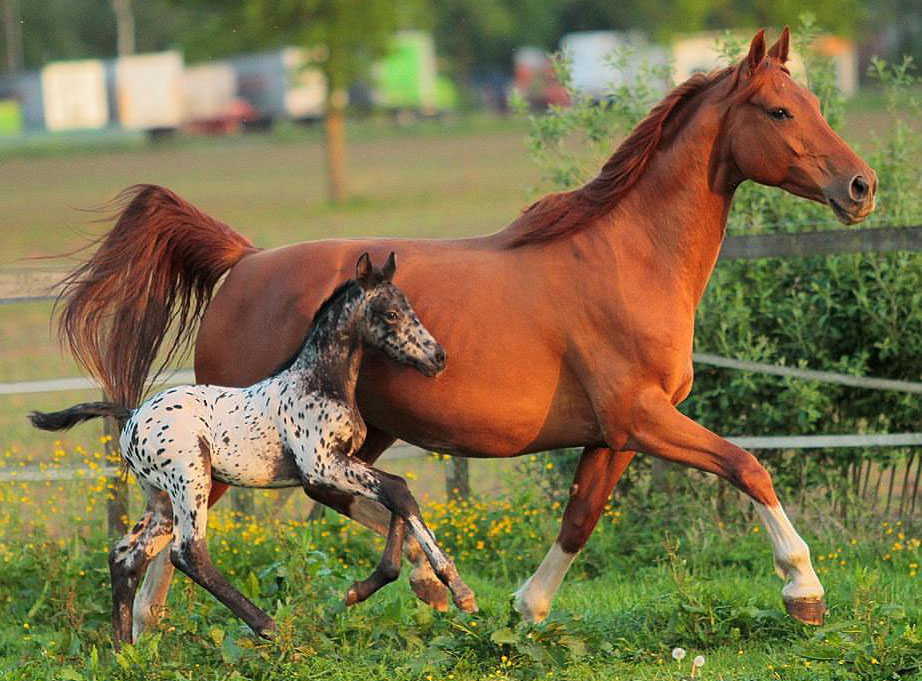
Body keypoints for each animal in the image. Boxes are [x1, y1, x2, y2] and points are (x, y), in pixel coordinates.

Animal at [30, 254, 474, 644]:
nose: (438, 357)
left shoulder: (342, 465)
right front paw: (456, 588)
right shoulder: (321, 468)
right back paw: (268, 627)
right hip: (191, 478)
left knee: (126, 556)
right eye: (392, 314)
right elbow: (399, 490)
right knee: (187, 552)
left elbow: (396, 496)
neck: (318, 381)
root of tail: (133, 412)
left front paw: (370, 589)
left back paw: (125, 652)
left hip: (158, 498)